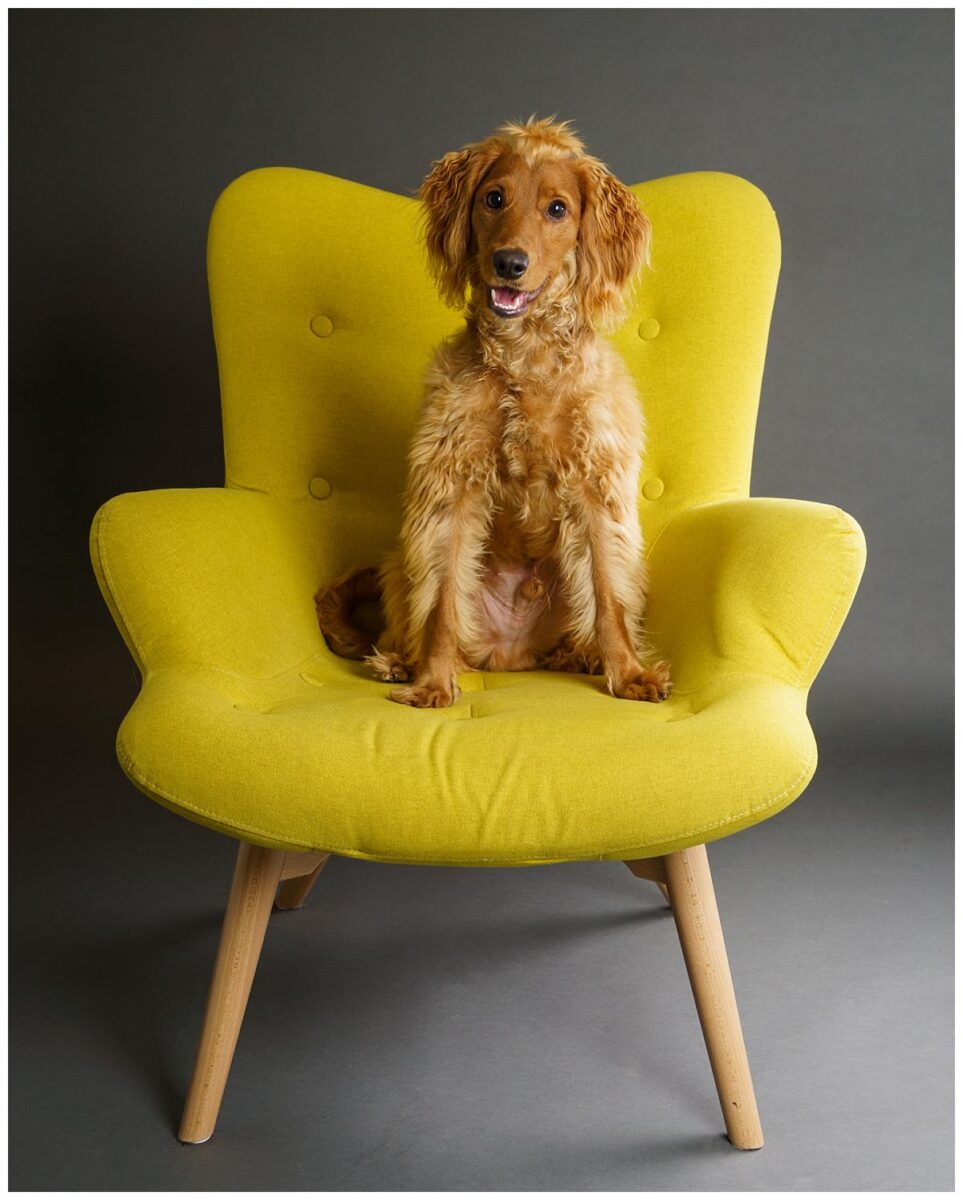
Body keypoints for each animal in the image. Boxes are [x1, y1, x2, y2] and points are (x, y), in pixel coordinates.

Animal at [314, 117, 667, 705]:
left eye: (557, 209)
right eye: (494, 198)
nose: (509, 263)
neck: (526, 360)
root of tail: (511, 654)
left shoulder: (595, 488)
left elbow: (608, 596)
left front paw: (629, 673)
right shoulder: (451, 485)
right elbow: (442, 605)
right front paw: (433, 682)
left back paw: (584, 656)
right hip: (402, 561)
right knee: (420, 620)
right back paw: (400, 661)